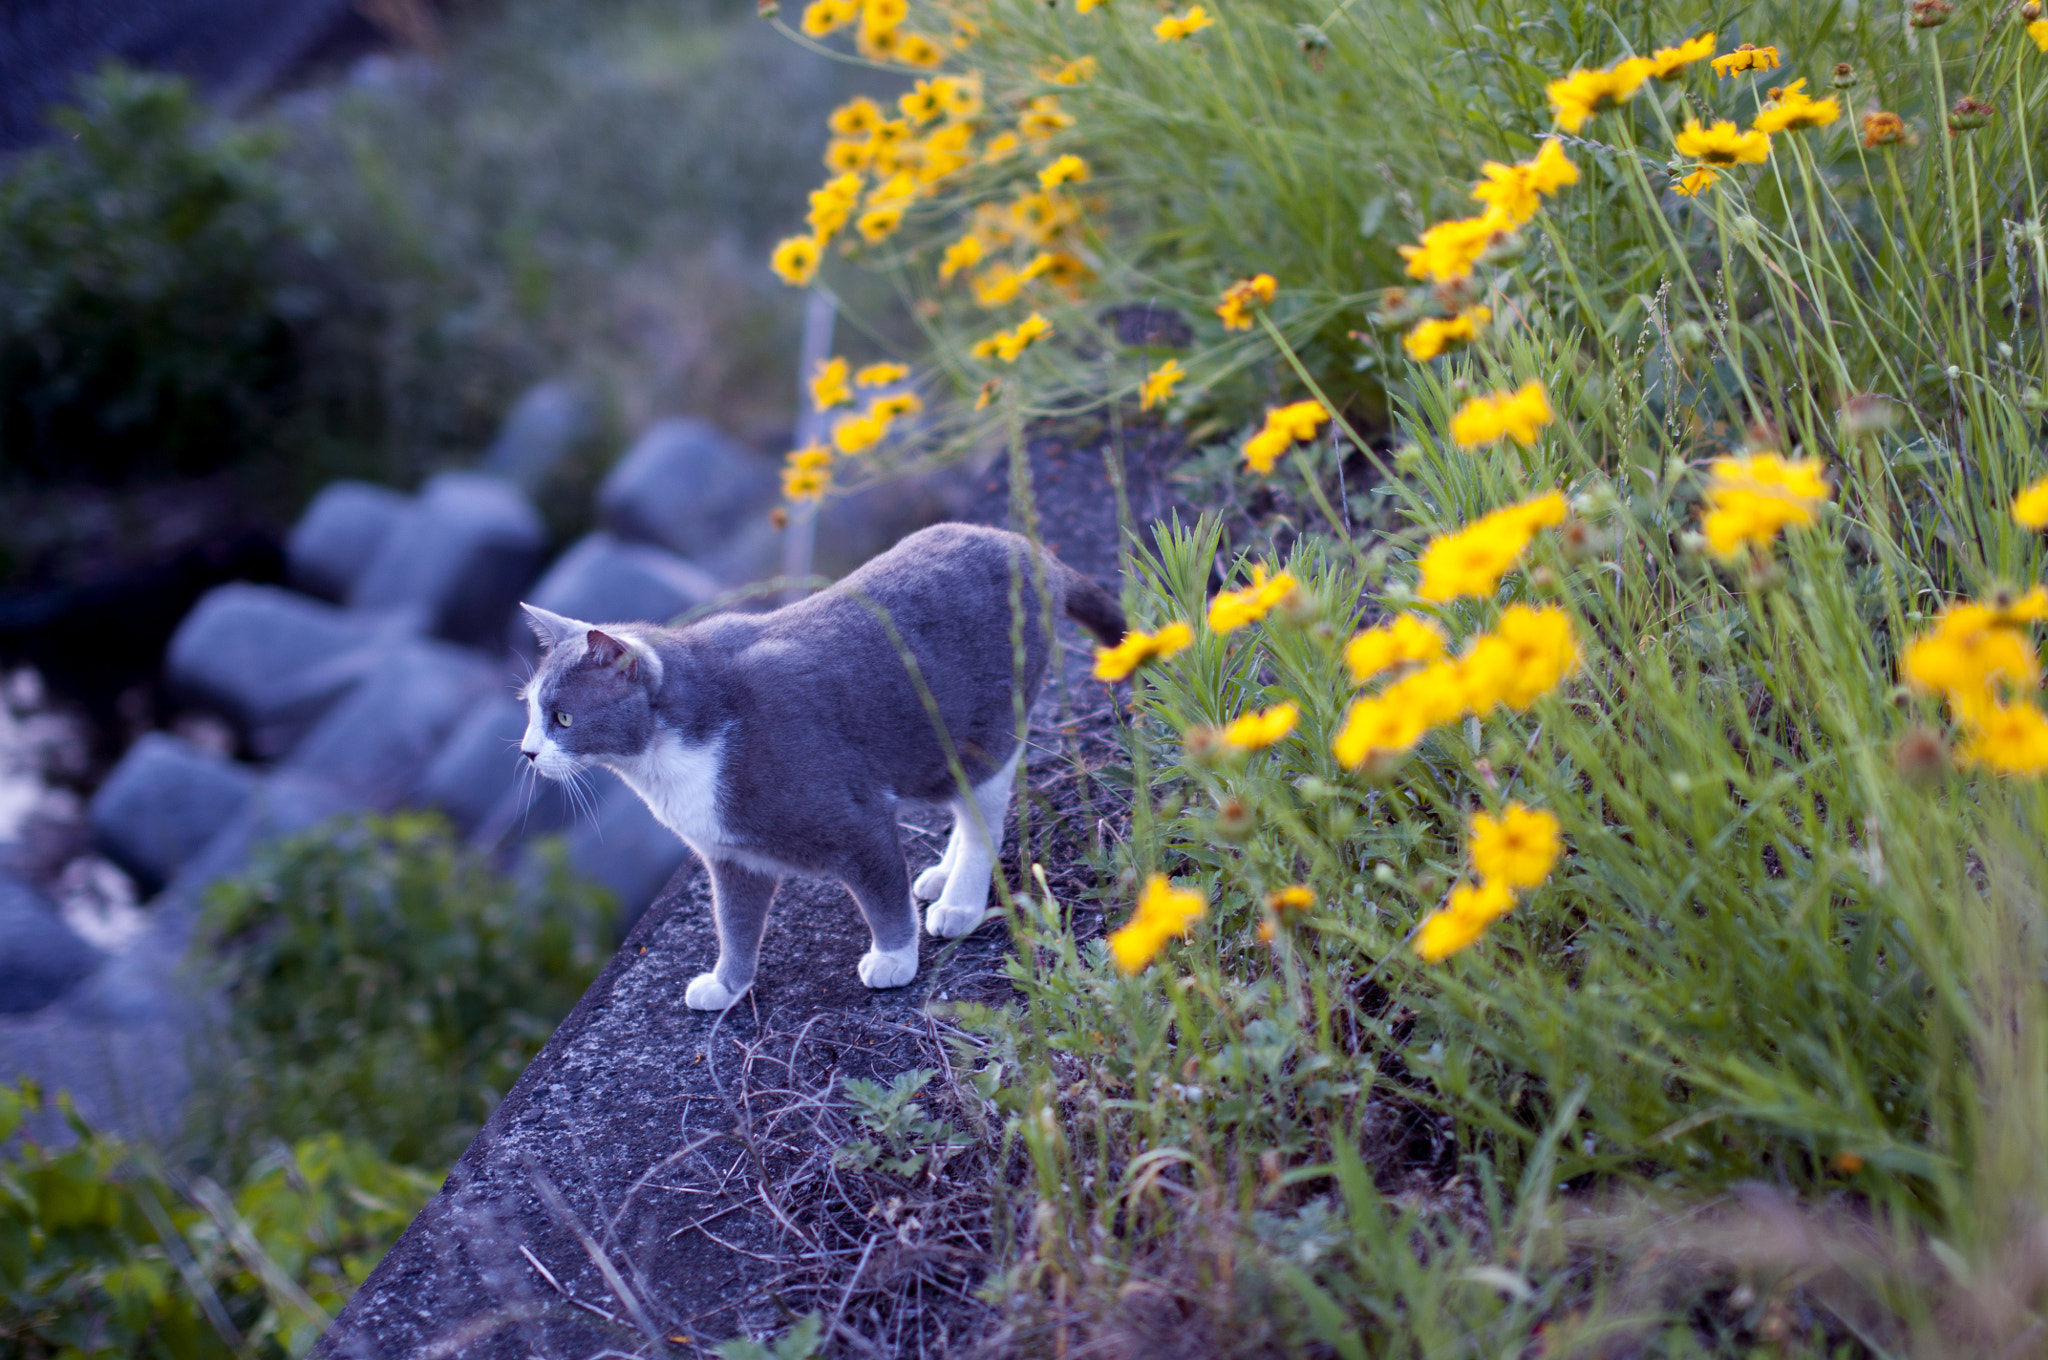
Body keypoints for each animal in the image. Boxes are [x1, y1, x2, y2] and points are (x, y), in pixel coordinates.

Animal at [512, 522, 1122, 1007]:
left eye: (562, 717)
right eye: (532, 711)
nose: (527, 751)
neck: (667, 772)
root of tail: (1029, 548)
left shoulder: (856, 820)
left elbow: (881, 893)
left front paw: (894, 959)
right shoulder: (732, 858)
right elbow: (734, 924)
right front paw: (726, 985)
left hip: (981, 732)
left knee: (983, 819)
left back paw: (959, 902)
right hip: (927, 754)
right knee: (961, 808)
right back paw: (939, 876)